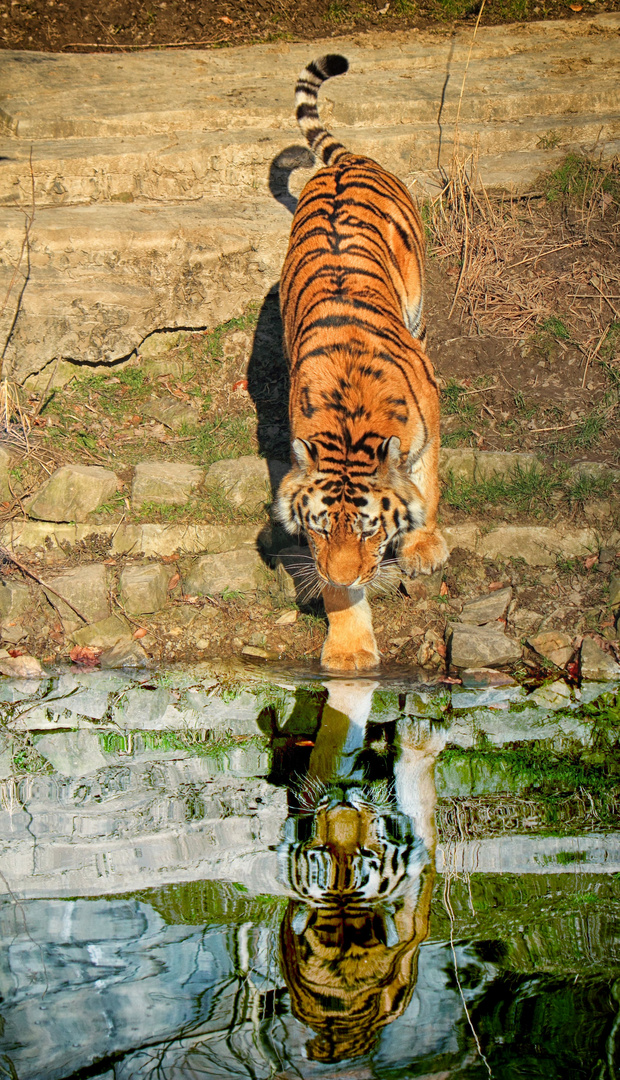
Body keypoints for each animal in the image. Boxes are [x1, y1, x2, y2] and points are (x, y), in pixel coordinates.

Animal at [275, 56, 447, 673]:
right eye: (320, 531)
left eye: (372, 530)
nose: (344, 573)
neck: (352, 421)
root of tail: (348, 162)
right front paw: (349, 652)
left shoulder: (429, 421)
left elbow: (425, 482)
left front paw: (423, 548)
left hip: (418, 303)